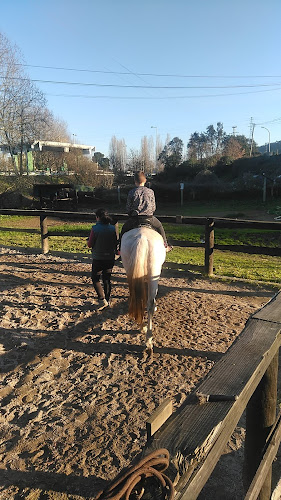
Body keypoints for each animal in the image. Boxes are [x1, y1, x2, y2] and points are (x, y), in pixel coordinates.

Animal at [120, 227, 164, 356]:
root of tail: (142, 238)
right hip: (154, 272)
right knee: (150, 304)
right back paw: (148, 341)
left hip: (131, 271)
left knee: (136, 298)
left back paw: (142, 327)